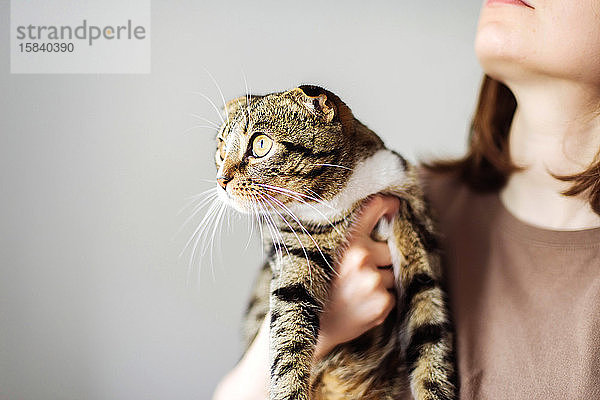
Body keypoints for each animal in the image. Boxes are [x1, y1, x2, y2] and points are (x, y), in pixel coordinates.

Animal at [214, 85, 454, 400]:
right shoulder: (294, 250)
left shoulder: (413, 226)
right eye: (220, 149)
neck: (344, 196)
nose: (220, 180)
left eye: (261, 144)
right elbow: (288, 341)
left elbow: (429, 333)